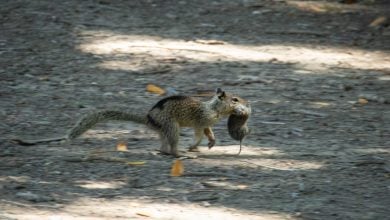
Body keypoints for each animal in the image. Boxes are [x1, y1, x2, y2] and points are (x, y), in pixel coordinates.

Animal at [14, 87, 250, 156]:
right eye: (235, 99)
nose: (247, 103)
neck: (214, 108)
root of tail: (148, 118)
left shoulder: (207, 122)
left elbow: (209, 132)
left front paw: (212, 142)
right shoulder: (200, 121)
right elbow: (200, 133)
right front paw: (195, 145)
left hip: (164, 130)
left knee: (162, 146)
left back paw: (166, 151)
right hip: (172, 127)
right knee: (172, 146)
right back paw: (181, 153)